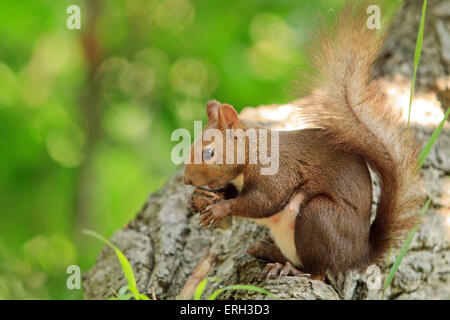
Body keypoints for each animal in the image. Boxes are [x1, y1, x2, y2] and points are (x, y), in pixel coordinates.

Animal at [181, 0, 424, 280]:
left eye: (209, 153)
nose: (187, 180)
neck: (251, 153)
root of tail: (356, 255)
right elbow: (234, 192)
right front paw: (204, 198)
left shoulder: (276, 173)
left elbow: (263, 202)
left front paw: (220, 209)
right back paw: (268, 251)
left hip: (319, 217)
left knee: (318, 271)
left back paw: (288, 268)